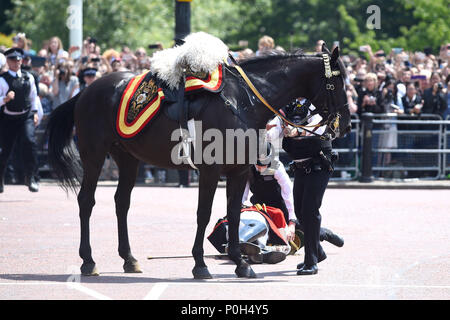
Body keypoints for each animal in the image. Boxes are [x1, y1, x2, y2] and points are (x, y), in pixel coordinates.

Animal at [45, 43, 350, 278]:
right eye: (337, 82)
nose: (345, 125)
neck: (242, 102)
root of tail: (86, 91)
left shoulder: (238, 171)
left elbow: (235, 213)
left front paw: (240, 263)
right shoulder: (210, 171)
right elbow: (203, 214)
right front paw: (200, 264)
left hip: (128, 158)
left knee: (122, 203)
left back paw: (128, 258)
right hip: (94, 154)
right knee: (87, 201)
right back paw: (88, 261)